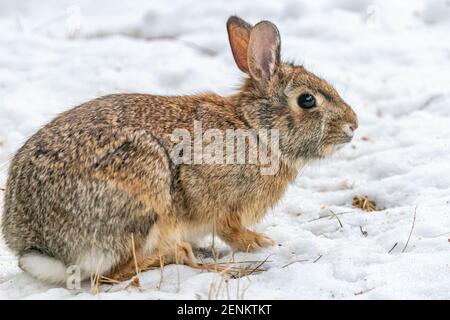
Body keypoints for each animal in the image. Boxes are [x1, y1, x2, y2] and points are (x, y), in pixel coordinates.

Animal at [0, 16, 358, 284]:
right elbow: (229, 228)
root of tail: (39, 247)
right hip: (143, 194)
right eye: (307, 100)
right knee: (113, 272)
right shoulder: (217, 197)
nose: (353, 125)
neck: (256, 129)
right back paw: (175, 253)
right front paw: (257, 242)